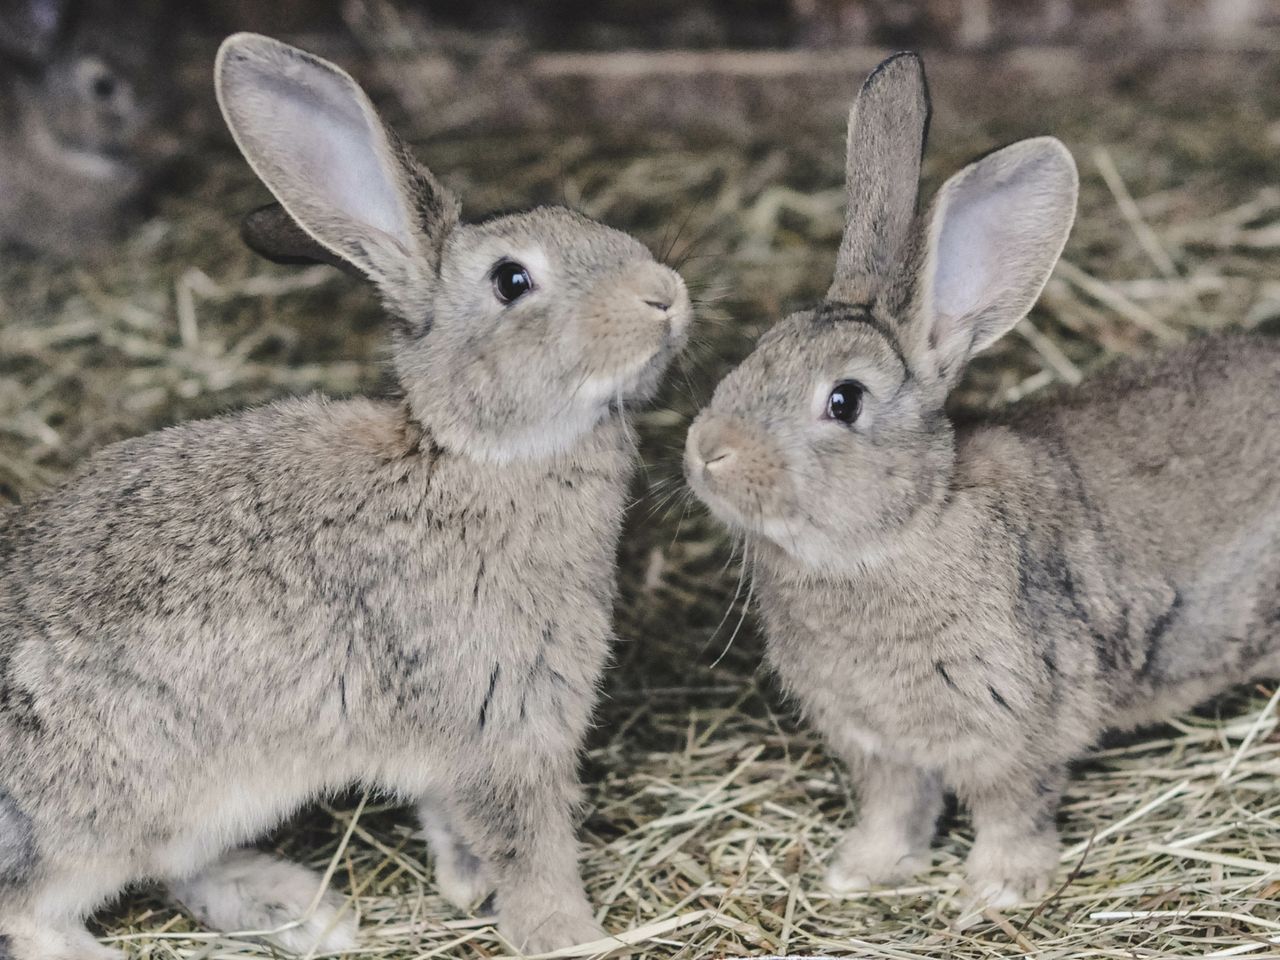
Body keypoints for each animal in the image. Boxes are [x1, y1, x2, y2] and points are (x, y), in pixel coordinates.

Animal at [0, 32, 691, 960]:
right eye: (512, 281)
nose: (664, 295)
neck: (473, 457)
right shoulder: (501, 719)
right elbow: (527, 846)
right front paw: (568, 935)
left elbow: (450, 815)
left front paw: (465, 883)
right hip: (107, 811)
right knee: (31, 907)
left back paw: (304, 910)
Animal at [686, 50, 1280, 911]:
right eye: (758, 350)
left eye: (844, 400)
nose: (708, 450)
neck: (899, 531)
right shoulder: (880, 748)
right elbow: (895, 810)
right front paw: (859, 873)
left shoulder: (1017, 727)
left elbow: (1011, 810)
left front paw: (998, 891)